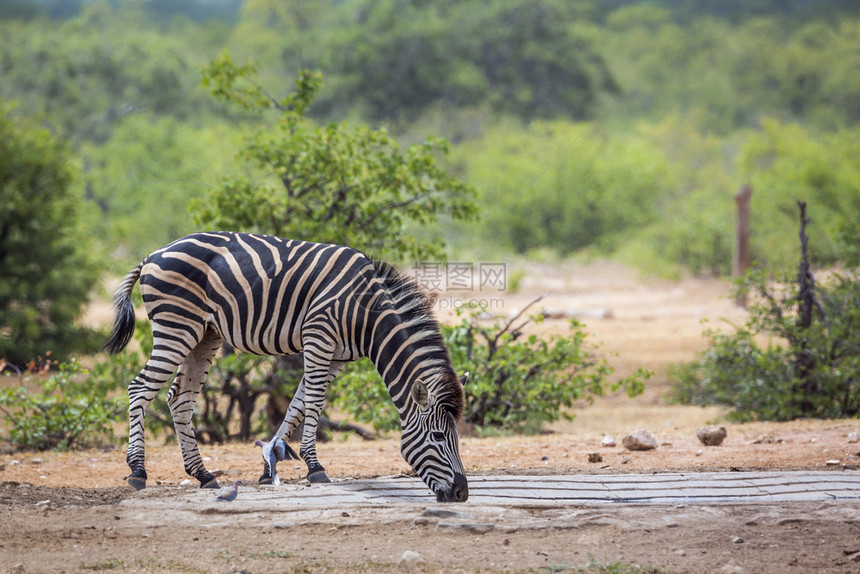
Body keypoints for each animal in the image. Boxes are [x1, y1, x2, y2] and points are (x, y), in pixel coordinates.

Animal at [105, 232, 474, 502]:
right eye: (439, 436)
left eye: (457, 437)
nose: (461, 493)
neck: (366, 314)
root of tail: (153, 254)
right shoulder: (318, 336)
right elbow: (313, 403)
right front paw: (314, 466)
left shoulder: (337, 356)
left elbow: (297, 406)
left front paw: (270, 466)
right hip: (177, 326)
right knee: (140, 388)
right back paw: (137, 471)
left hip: (205, 334)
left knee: (179, 400)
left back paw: (203, 474)